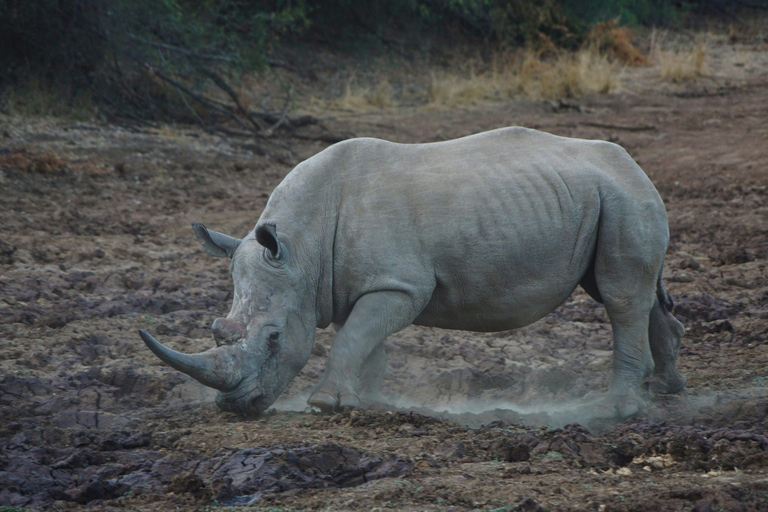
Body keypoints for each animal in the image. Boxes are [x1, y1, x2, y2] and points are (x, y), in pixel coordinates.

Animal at [139, 127, 686, 416]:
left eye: (273, 339)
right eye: (217, 330)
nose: (236, 407)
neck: (300, 249)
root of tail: (633, 164)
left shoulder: (400, 285)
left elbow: (353, 337)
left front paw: (326, 404)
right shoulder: (351, 284)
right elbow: (363, 339)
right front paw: (366, 401)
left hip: (624, 198)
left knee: (619, 296)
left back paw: (616, 409)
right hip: (603, 196)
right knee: (631, 293)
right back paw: (667, 390)